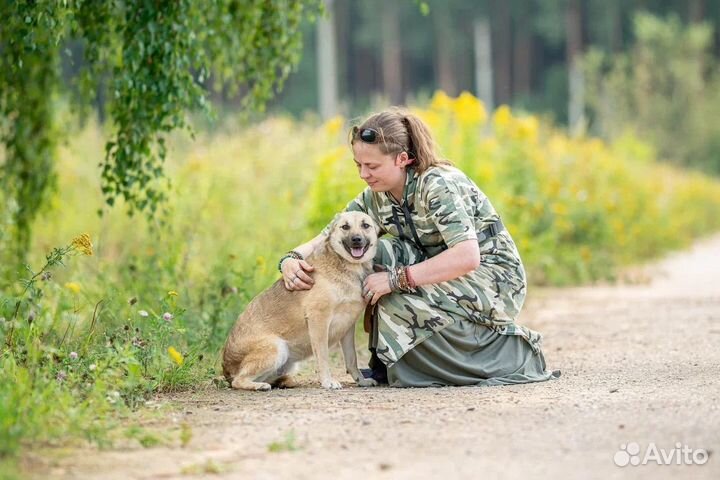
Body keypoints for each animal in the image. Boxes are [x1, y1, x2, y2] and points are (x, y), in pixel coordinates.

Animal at [221, 213, 380, 390]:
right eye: (345, 227)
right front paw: (327, 381)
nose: (356, 239)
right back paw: (259, 386)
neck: (349, 267)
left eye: (365, 225)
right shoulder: (319, 320)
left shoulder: (347, 327)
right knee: (238, 380)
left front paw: (361, 380)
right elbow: (323, 356)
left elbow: (352, 359)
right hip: (277, 348)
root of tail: (226, 367)